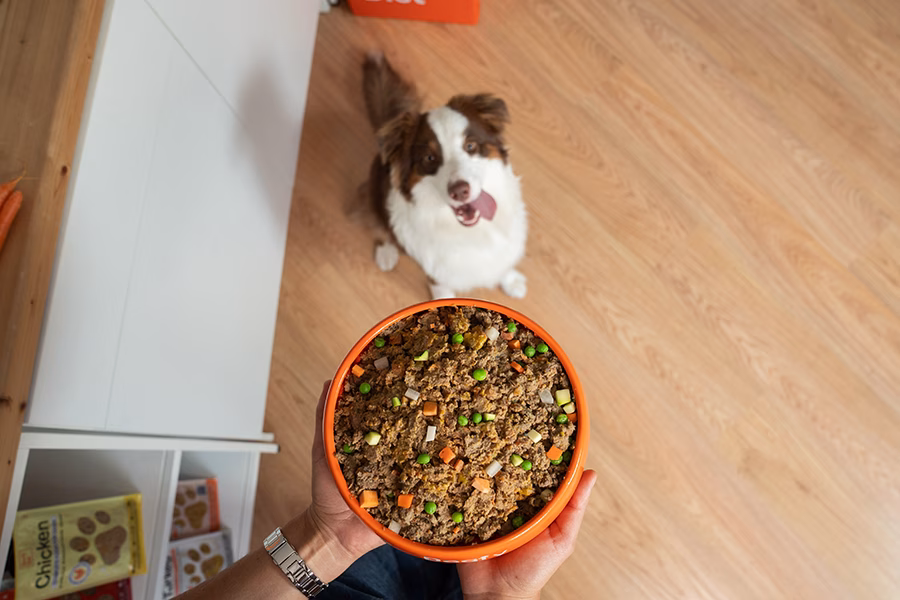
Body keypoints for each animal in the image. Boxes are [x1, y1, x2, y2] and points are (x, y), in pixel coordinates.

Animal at [363, 53, 528, 299]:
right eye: (429, 158)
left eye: (470, 146)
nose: (460, 191)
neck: (472, 233)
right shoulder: (434, 268)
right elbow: (440, 285)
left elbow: (503, 263)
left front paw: (512, 281)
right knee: (380, 225)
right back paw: (386, 253)